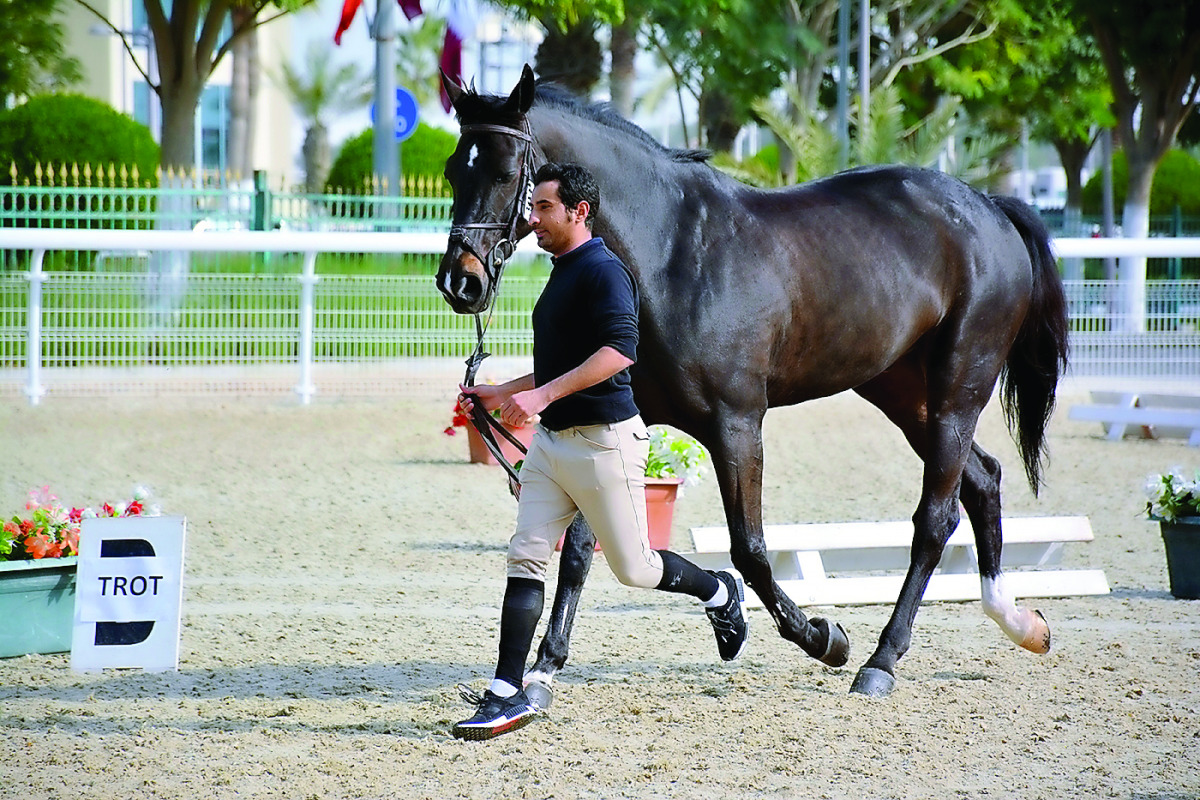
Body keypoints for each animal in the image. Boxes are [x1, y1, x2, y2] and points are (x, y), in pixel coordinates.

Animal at [436, 65, 1069, 700]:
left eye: (505, 172)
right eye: (452, 170)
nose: (459, 283)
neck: (670, 255)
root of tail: (988, 207)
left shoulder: (735, 425)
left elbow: (751, 549)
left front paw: (823, 638)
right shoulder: (615, 418)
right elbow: (583, 551)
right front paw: (543, 668)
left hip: (958, 392)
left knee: (934, 520)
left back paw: (881, 661)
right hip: (902, 392)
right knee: (982, 480)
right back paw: (1022, 623)